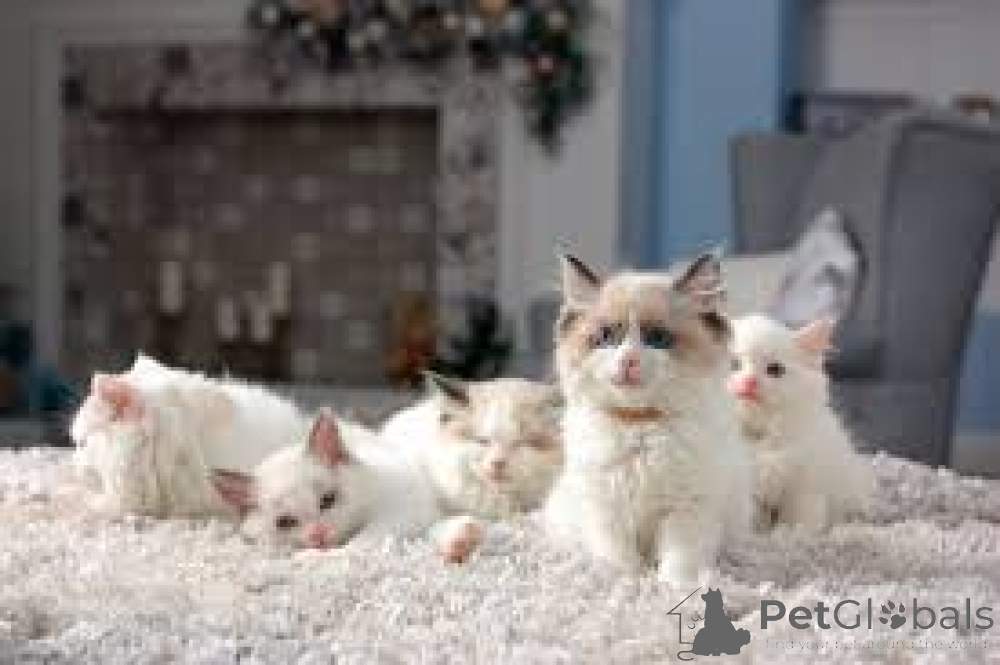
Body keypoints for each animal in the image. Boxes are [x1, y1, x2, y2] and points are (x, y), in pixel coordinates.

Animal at [214, 409, 485, 561]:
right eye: (285, 522)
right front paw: (459, 541)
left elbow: (363, 543)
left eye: (327, 500)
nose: (318, 535)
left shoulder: (405, 507)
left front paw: (311, 558)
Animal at [543, 252, 752, 585]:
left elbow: (679, 561)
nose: (628, 360)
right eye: (606, 337)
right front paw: (628, 583)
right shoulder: (606, 505)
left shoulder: (688, 506)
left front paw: (673, 588)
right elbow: (619, 558)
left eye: (657, 338)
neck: (640, 424)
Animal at [728, 314, 872, 529]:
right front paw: (758, 532)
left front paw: (794, 533)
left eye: (774, 369)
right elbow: (752, 517)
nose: (748, 382)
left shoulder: (806, 485)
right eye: (733, 364)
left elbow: (799, 518)